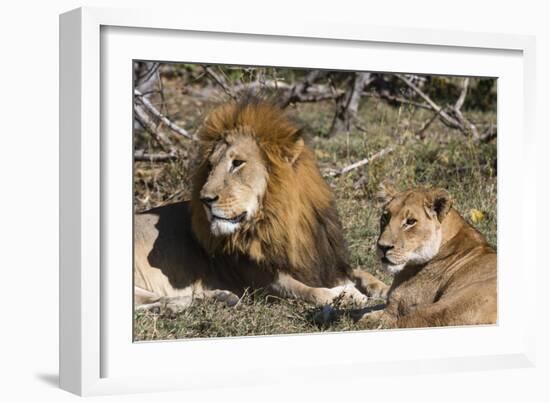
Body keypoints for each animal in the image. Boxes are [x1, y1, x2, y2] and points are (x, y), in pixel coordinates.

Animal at [134, 99, 386, 314]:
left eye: (237, 163)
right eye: (211, 166)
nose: (205, 199)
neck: (283, 221)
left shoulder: (323, 263)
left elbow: (362, 273)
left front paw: (383, 288)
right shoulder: (265, 282)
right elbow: (313, 292)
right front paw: (348, 295)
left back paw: (221, 297)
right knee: (149, 302)